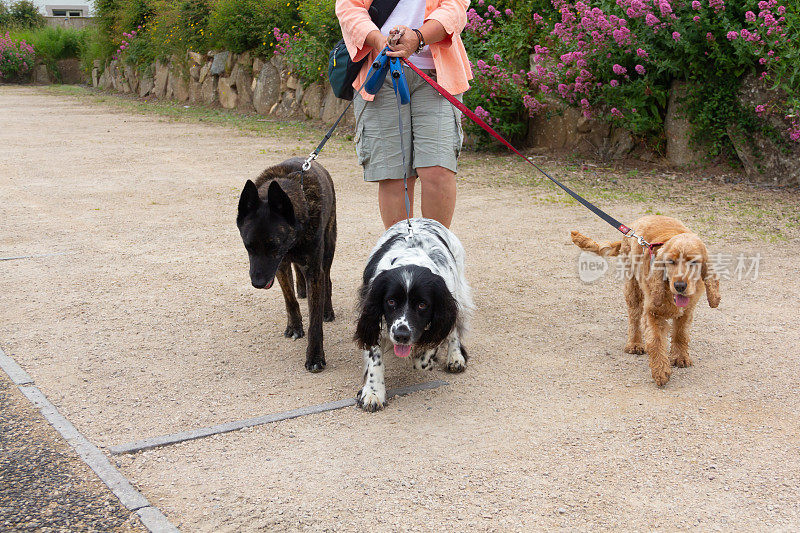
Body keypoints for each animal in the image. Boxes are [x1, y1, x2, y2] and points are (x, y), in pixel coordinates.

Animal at [238, 158, 338, 372]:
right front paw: (294, 327)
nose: (258, 283)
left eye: (274, 246)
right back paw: (301, 289)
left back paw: (327, 310)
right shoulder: (281, 267)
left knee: (327, 279)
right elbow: (290, 300)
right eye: (248, 246)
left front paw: (315, 356)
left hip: (329, 246)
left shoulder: (313, 271)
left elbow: (314, 321)